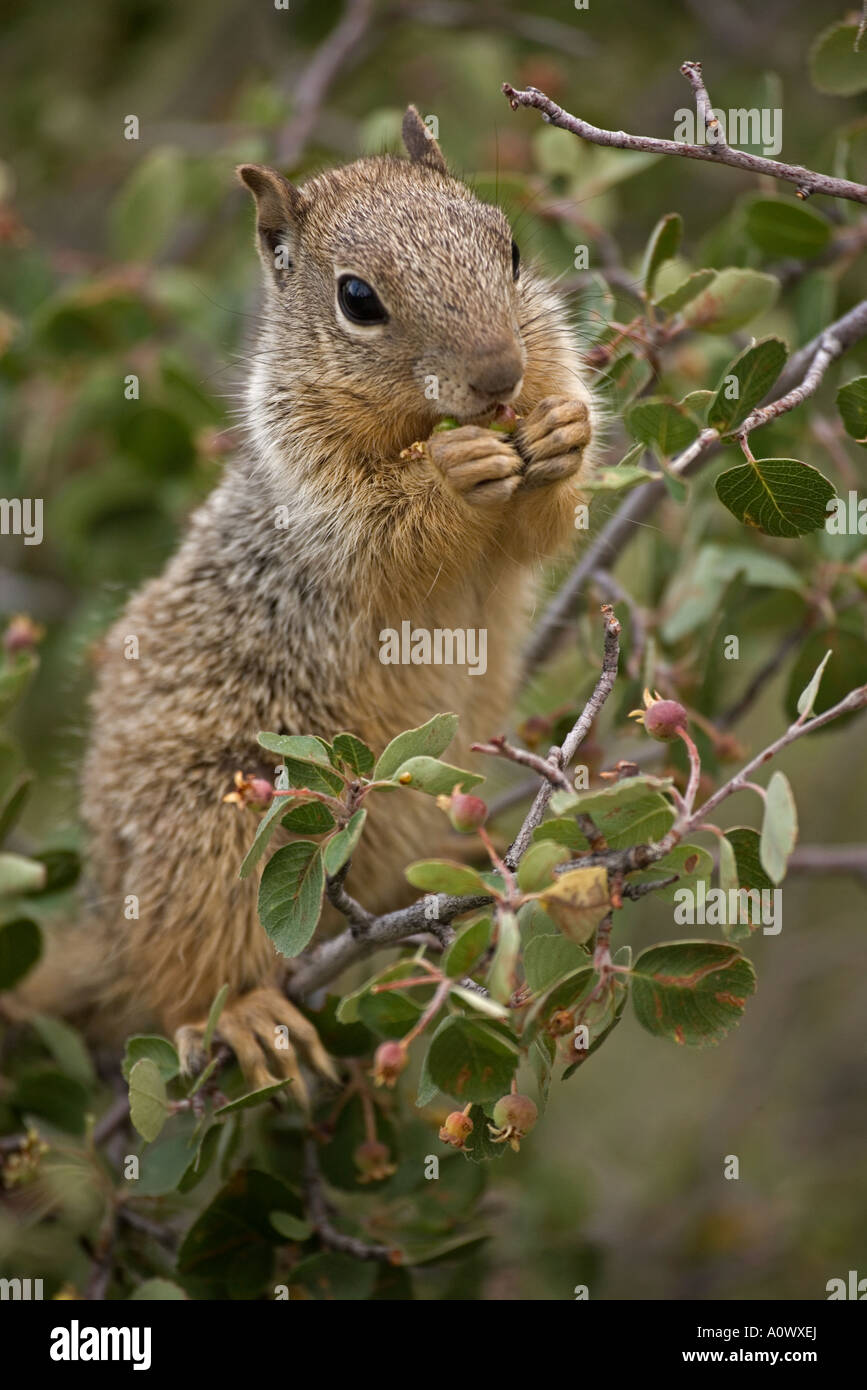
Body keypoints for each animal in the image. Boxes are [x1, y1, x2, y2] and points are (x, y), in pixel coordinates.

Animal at [15, 108, 594, 1100]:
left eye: (510, 246)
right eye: (357, 299)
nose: (498, 378)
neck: (416, 421)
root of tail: (101, 932)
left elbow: (537, 526)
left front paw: (561, 433)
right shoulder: (313, 496)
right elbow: (386, 536)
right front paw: (455, 472)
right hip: (214, 835)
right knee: (186, 975)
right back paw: (245, 1014)